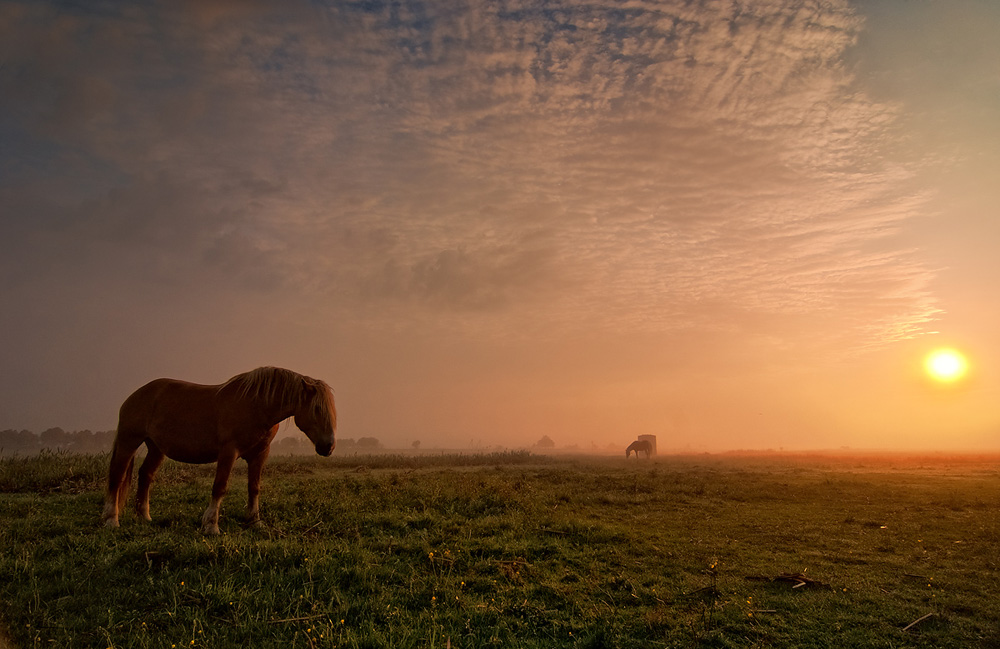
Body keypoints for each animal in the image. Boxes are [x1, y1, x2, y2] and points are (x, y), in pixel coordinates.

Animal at [102, 368, 338, 536]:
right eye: (317, 409)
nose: (328, 446)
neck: (256, 406)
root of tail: (135, 395)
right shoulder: (228, 452)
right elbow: (220, 487)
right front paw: (211, 525)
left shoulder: (259, 455)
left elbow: (254, 488)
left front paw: (255, 522)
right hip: (129, 441)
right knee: (117, 477)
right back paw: (111, 520)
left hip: (156, 448)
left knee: (145, 475)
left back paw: (144, 516)